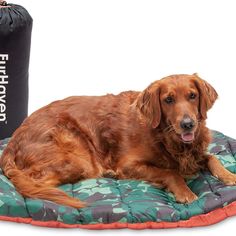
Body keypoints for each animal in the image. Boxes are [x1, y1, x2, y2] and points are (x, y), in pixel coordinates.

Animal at [0, 73, 235, 207]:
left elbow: (212, 157)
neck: (165, 137)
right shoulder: (128, 164)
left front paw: (229, 175)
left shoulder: (195, 152)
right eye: (168, 100)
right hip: (78, 160)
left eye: (192, 96)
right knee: (31, 184)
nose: (188, 124)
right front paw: (185, 192)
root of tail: (13, 138)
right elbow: (170, 172)